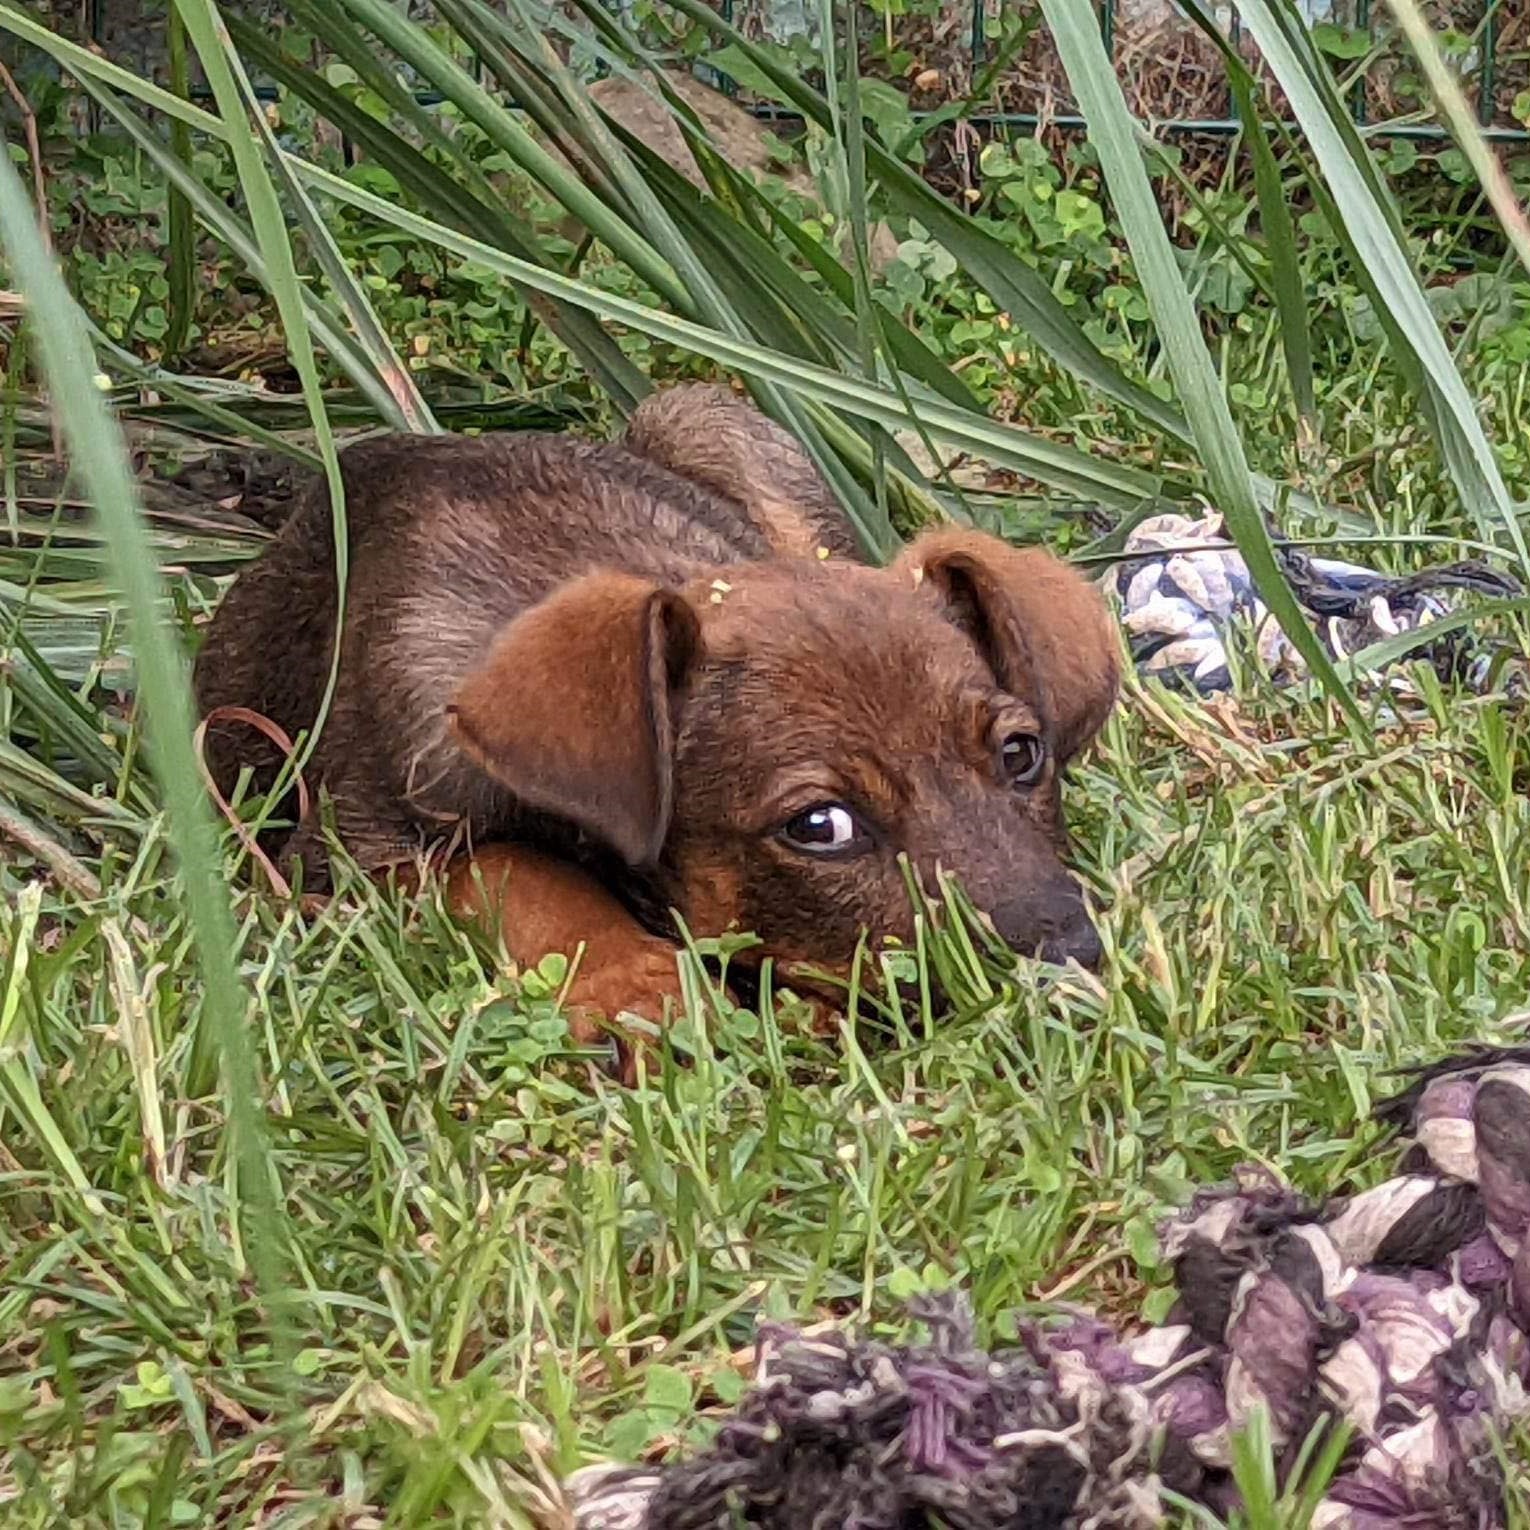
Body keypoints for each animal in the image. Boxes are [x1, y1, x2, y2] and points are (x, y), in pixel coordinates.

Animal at [197, 385, 1119, 1040]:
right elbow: (512, 869)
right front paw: (642, 986)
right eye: (818, 826)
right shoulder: (339, 866)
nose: (1076, 962)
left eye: (1021, 756)